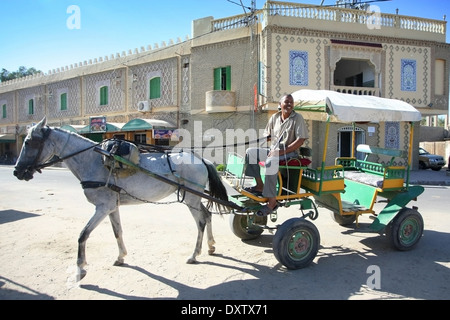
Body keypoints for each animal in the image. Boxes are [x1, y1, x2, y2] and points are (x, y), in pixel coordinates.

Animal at [12, 117, 230, 280]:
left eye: (29, 142)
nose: (17, 171)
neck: (96, 160)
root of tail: (201, 159)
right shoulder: (112, 206)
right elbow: (117, 231)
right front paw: (121, 257)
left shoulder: (102, 207)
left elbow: (83, 234)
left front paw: (80, 268)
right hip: (194, 198)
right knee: (207, 214)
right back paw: (211, 246)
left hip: (191, 199)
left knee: (201, 222)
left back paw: (194, 254)